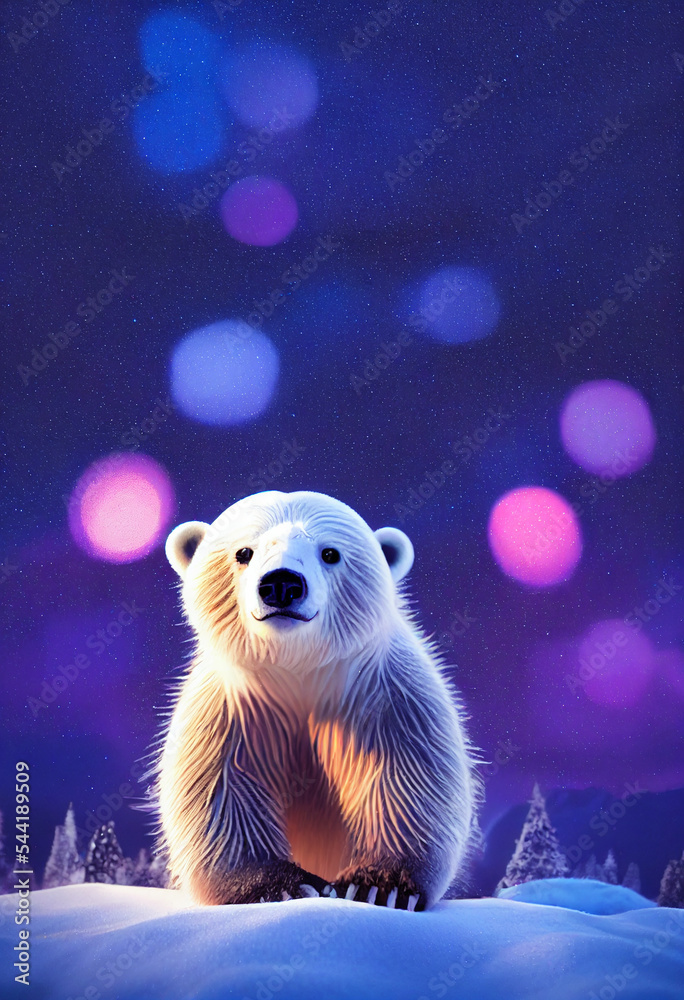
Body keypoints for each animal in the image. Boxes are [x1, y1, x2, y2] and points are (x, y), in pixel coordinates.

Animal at [156, 490, 479, 910]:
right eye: (243, 552)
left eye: (330, 552)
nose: (281, 583)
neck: (300, 670)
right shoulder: (228, 711)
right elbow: (220, 793)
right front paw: (278, 887)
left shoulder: (387, 698)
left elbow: (408, 779)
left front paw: (378, 886)